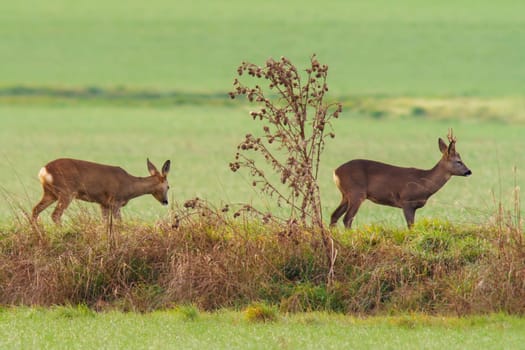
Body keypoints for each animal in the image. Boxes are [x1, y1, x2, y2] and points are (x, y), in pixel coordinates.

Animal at [31, 157, 171, 223]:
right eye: (168, 186)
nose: (166, 201)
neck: (129, 186)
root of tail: (43, 170)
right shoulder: (115, 201)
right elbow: (119, 222)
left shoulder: (103, 204)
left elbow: (104, 222)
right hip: (66, 192)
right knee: (55, 215)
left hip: (50, 193)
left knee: (35, 210)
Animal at [328, 130, 470, 228]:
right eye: (458, 161)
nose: (469, 171)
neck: (424, 183)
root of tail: (336, 171)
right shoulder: (407, 201)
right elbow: (410, 226)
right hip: (356, 192)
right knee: (347, 218)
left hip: (345, 194)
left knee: (334, 215)